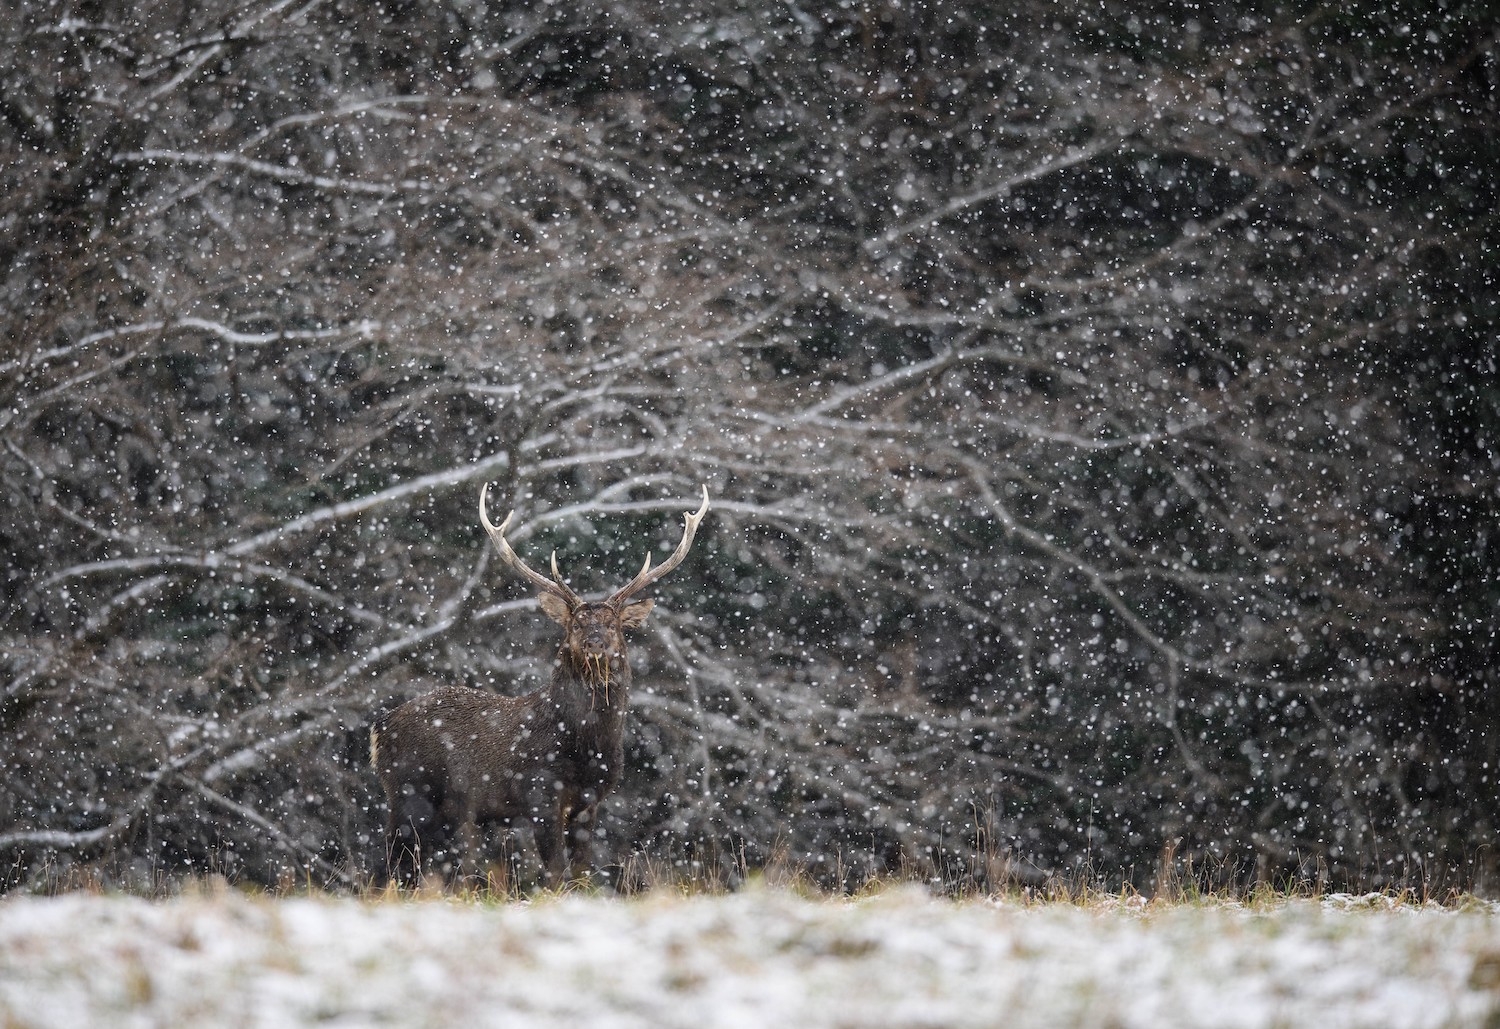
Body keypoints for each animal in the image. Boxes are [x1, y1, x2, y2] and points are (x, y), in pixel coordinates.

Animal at [369, 483, 710, 890]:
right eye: (576, 624)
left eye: (613, 624)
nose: (596, 643)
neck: (585, 746)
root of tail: (379, 727)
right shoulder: (540, 792)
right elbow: (556, 872)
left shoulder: (591, 800)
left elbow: (582, 871)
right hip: (409, 790)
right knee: (390, 861)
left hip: (443, 809)